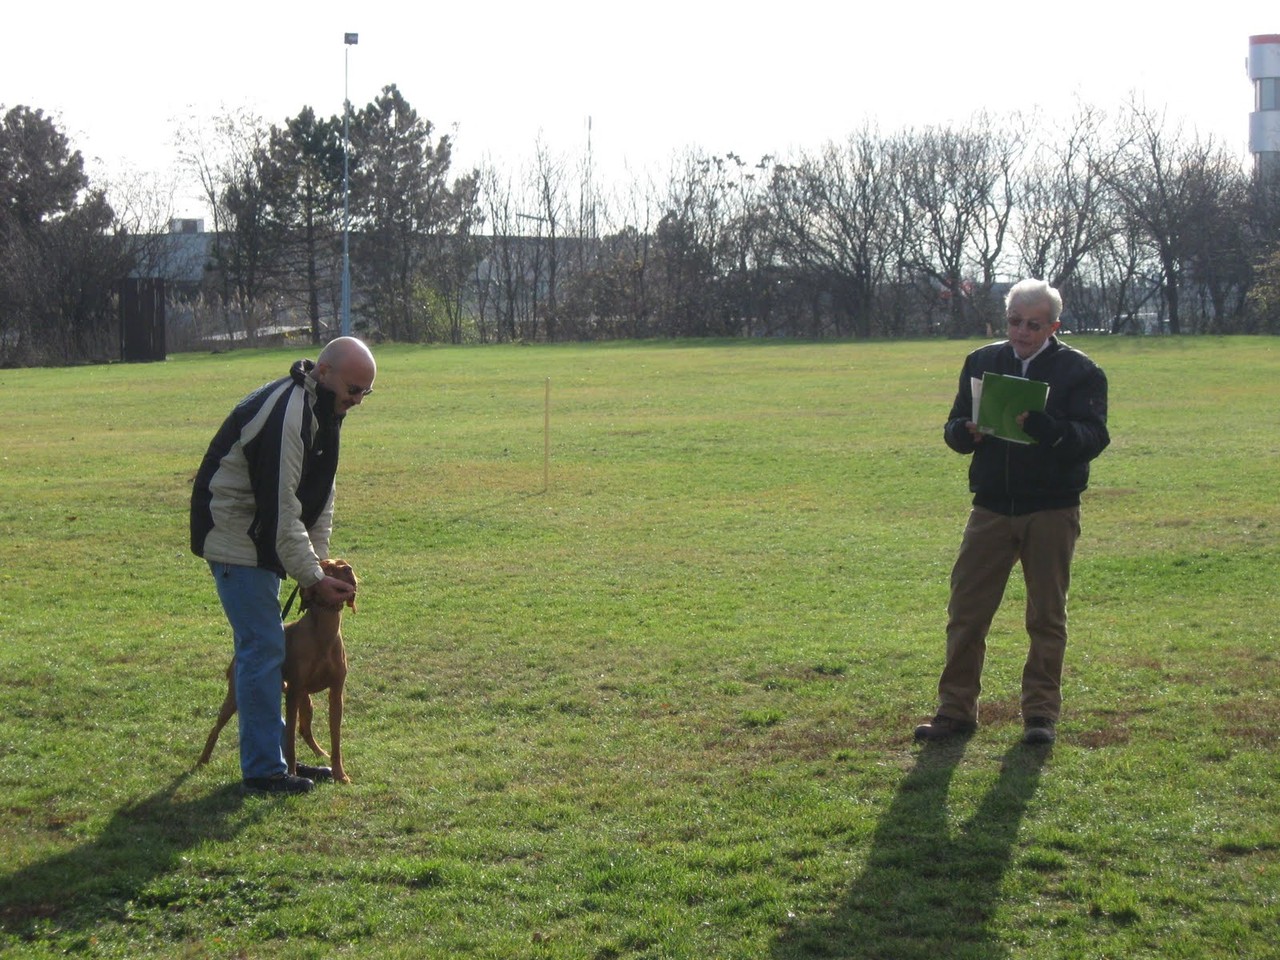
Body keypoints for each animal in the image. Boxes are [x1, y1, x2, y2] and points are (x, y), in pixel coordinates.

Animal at [198, 558, 357, 784]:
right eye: (326, 568)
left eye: (344, 563)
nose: (348, 569)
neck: (324, 632)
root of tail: (236, 656)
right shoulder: (293, 695)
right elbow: (289, 740)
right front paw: (291, 773)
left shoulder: (335, 694)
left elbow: (336, 739)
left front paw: (340, 774)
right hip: (237, 697)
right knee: (215, 728)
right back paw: (202, 761)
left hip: (305, 699)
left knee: (304, 729)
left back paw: (320, 754)